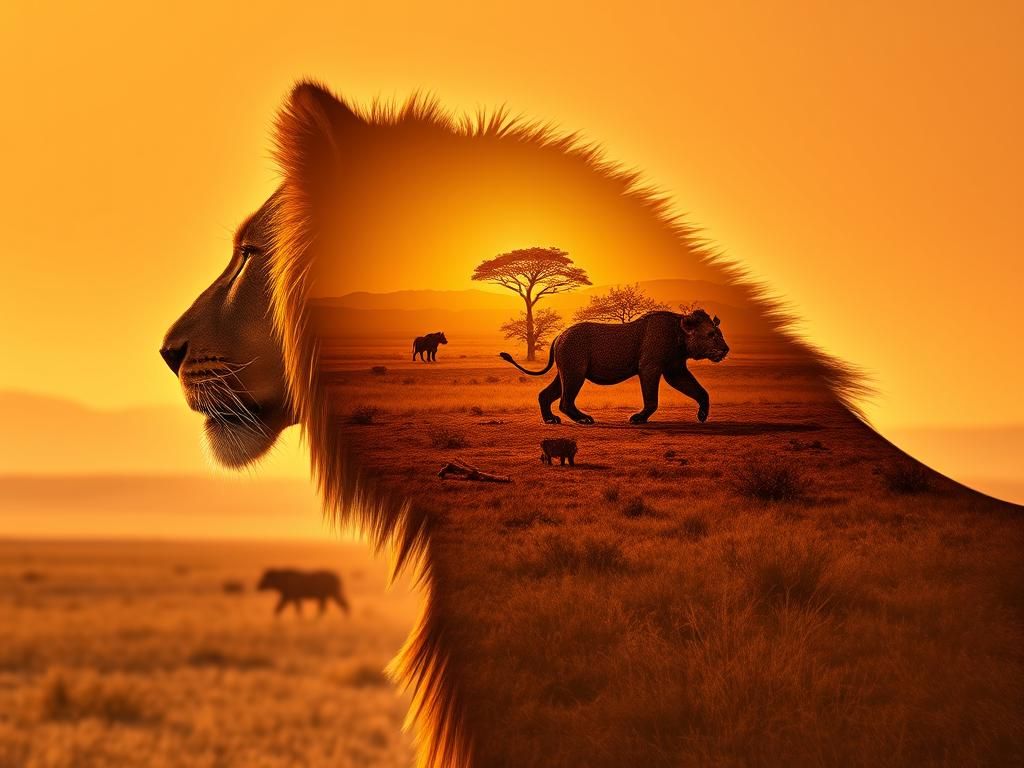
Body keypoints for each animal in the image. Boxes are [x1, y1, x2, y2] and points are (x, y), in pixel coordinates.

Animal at [501, 310, 728, 424]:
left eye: (719, 333)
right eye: (711, 335)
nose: (726, 349)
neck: (680, 335)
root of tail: (559, 335)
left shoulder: (675, 369)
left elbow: (701, 391)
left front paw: (702, 416)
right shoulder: (650, 367)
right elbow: (652, 400)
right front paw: (638, 419)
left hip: (566, 372)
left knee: (545, 394)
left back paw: (550, 420)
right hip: (575, 371)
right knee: (565, 401)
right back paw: (584, 419)